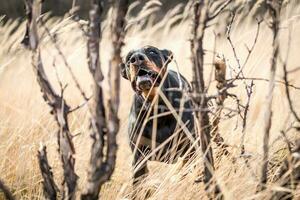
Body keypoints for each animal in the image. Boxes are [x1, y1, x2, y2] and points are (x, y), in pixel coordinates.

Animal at [119, 45, 197, 183]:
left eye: (152, 51)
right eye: (128, 58)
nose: (136, 58)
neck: (156, 107)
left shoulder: (190, 147)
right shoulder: (138, 158)